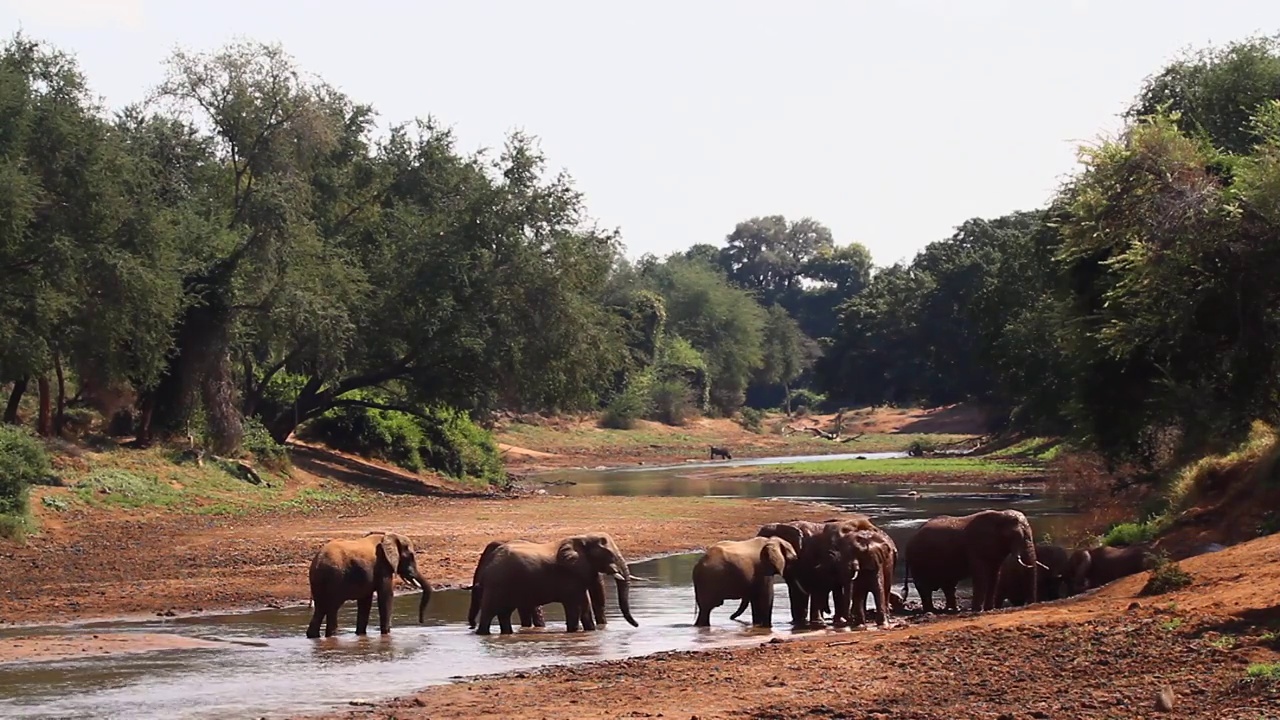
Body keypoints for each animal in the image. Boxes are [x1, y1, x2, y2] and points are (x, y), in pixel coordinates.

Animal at [473, 530, 637, 630]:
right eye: (609, 554)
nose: (637, 625)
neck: (583, 537)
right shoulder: (569, 575)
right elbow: (574, 605)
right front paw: (574, 631)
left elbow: (584, 604)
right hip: (497, 584)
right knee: (489, 614)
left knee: (504, 614)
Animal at [901, 504, 1039, 609]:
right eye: (1017, 536)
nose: (1029, 604)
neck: (1000, 515)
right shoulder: (976, 546)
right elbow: (981, 576)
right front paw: (977, 610)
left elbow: (994, 576)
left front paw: (989, 609)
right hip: (917, 561)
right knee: (924, 587)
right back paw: (931, 611)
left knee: (948, 585)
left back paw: (952, 609)